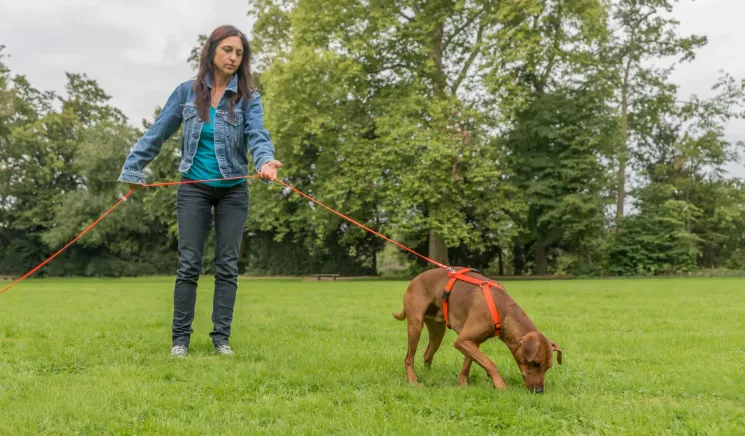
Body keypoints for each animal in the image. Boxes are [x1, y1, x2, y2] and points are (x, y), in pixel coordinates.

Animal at [392, 268, 560, 394]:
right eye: (536, 363)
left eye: (548, 367)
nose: (540, 391)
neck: (502, 310)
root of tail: (414, 279)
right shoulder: (463, 341)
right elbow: (490, 363)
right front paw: (500, 386)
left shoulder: (472, 342)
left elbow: (467, 365)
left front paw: (462, 385)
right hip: (415, 326)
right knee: (408, 359)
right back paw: (413, 381)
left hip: (438, 330)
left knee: (427, 354)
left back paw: (429, 374)